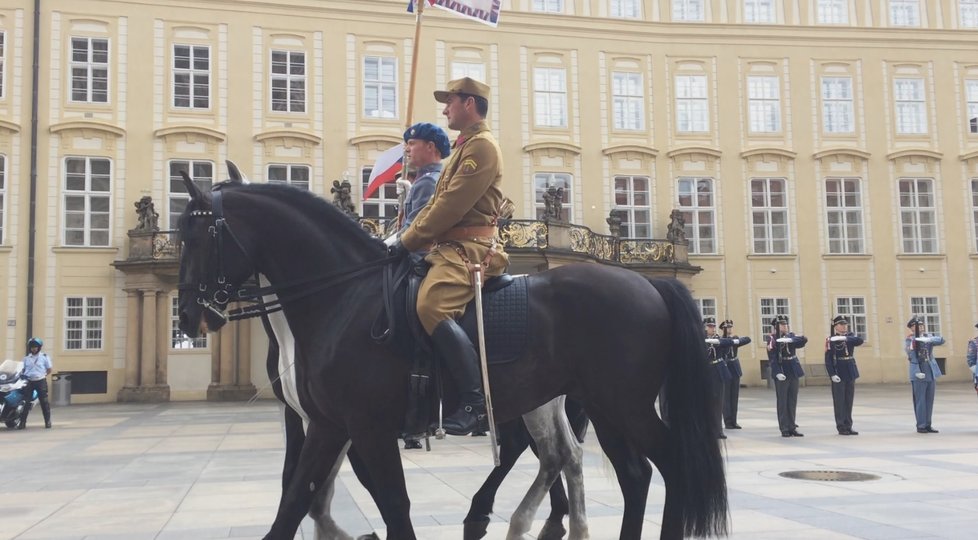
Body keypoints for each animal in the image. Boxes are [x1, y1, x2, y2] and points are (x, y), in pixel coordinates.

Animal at [177, 178, 724, 540]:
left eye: (197, 237)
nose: (188, 317)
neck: (344, 297)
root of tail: (650, 283)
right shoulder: (326, 423)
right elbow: (297, 499)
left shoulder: (367, 427)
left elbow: (391, 504)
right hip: (600, 406)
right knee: (623, 472)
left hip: (619, 405)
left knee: (662, 464)